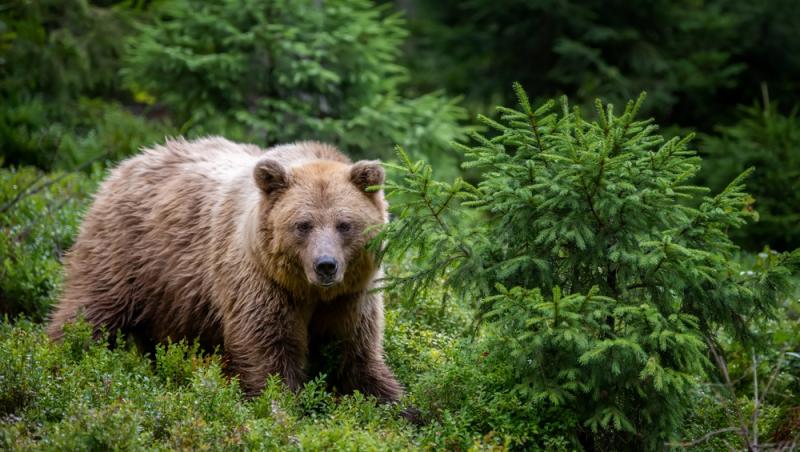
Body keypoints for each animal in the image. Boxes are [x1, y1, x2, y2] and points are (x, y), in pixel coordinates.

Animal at [47, 136, 404, 400]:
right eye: (303, 225)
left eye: (345, 224)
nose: (325, 265)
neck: (308, 291)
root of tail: (126, 163)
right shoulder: (260, 281)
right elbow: (267, 348)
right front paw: (280, 403)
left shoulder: (352, 296)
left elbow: (355, 353)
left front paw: (395, 403)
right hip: (127, 253)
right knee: (89, 309)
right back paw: (61, 358)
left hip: (170, 298)